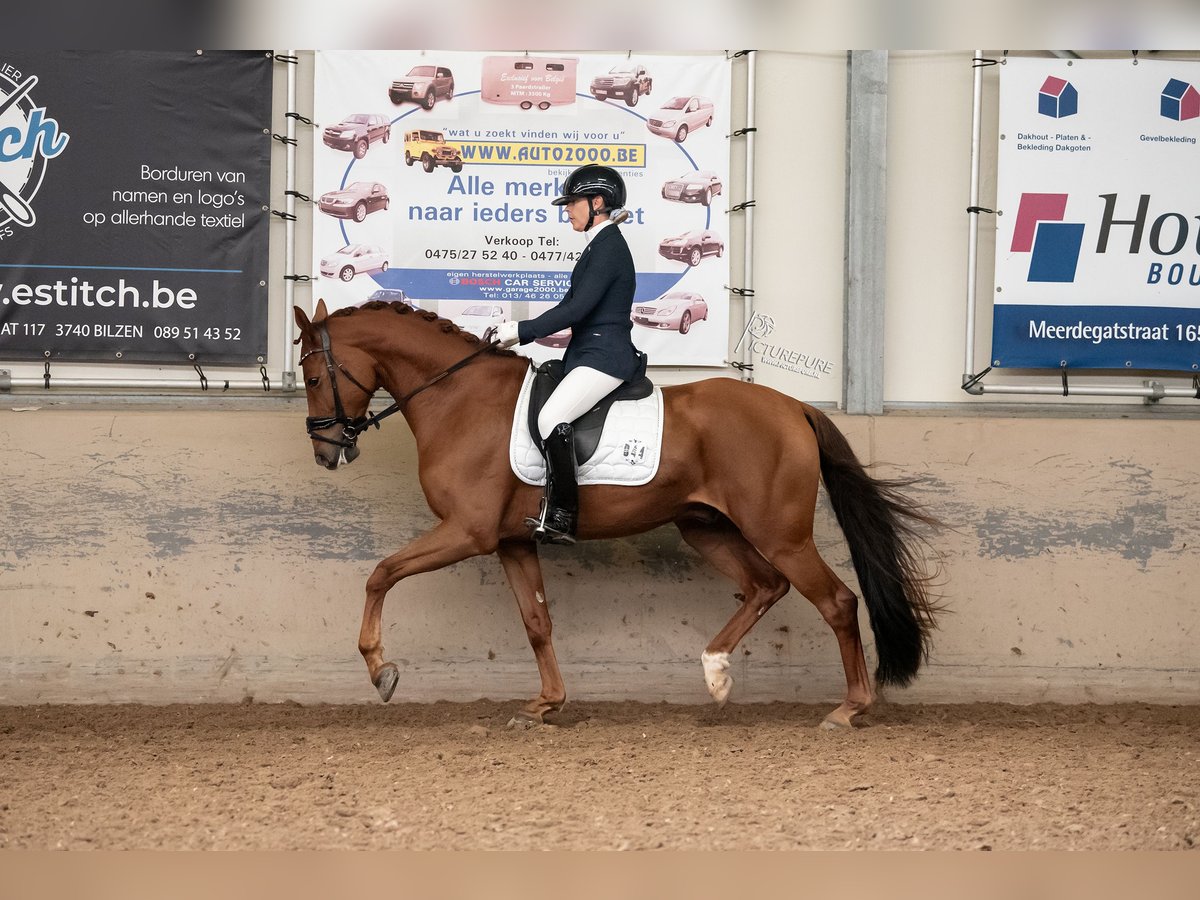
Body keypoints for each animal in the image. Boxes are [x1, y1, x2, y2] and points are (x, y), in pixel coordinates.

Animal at [292, 300, 936, 729]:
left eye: (315, 375)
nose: (325, 453)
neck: (458, 399)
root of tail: (794, 407)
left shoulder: (466, 533)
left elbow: (380, 573)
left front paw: (381, 671)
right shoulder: (511, 542)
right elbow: (537, 622)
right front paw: (546, 703)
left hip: (780, 534)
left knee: (837, 602)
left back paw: (847, 709)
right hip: (706, 528)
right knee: (764, 587)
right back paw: (716, 673)